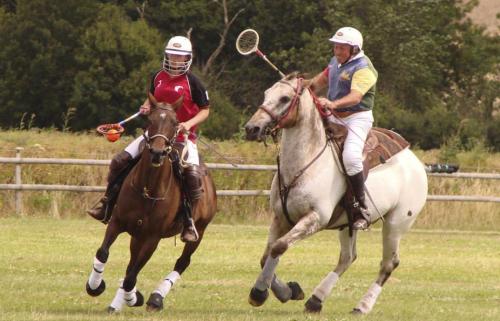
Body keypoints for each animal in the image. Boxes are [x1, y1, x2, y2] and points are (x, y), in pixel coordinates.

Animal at [85, 94, 217, 312]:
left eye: (175, 123)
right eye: (150, 120)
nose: (157, 152)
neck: (147, 188)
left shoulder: (152, 237)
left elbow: (132, 276)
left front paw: (134, 298)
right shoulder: (117, 223)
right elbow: (104, 253)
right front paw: (95, 286)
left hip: (200, 230)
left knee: (182, 262)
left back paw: (155, 298)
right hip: (136, 235)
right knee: (131, 263)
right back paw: (117, 303)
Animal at [244, 73, 428, 312]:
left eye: (285, 98)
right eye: (266, 94)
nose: (251, 128)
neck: (303, 164)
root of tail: (417, 163)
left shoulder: (316, 218)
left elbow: (279, 247)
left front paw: (259, 293)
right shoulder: (280, 217)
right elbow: (266, 256)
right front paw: (289, 291)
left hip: (397, 223)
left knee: (389, 263)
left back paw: (362, 306)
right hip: (348, 224)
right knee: (348, 258)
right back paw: (316, 299)